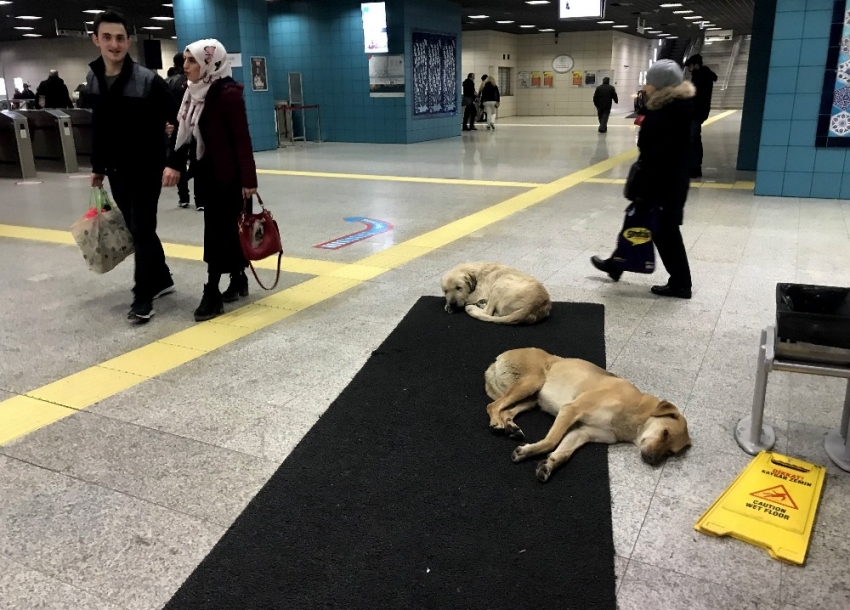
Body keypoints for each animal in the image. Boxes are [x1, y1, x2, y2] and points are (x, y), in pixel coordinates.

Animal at [484, 346, 688, 480]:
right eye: (665, 433)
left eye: (670, 453)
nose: (652, 460)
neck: (637, 411)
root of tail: (497, 359)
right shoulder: (571, 410)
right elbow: (551, 441)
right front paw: (529, 452)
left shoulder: (582, 432)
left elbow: (564, 452)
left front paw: (548, 463)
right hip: (532, 382)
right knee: (493, 406)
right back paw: (496, 423)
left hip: (532, 399)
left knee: (507, 410)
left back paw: (511, 427)